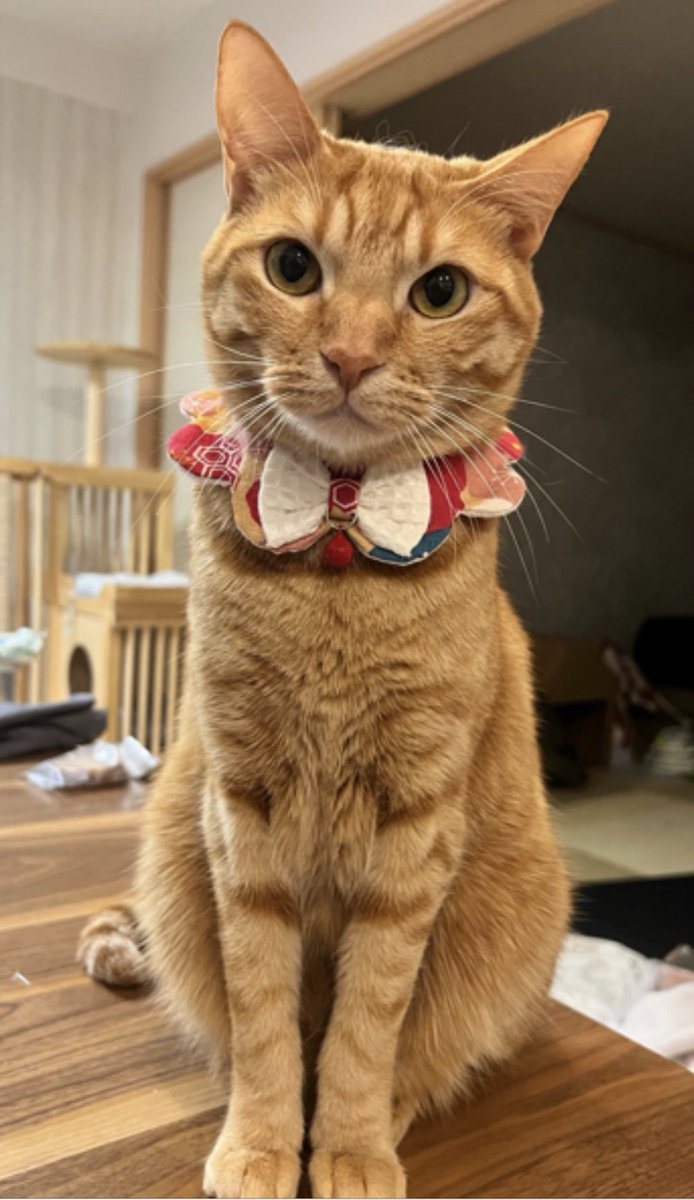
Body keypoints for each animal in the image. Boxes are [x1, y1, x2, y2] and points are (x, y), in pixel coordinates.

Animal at [78, 21, 607, 1200]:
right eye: (293, 268)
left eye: (441, 291)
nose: (354, 355)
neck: (335, 551)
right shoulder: (243, 813)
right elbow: (268, 1019)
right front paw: (265, 1142)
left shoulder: (413, 835)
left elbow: (365, 1028)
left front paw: (351, 1148)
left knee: (428, 1050)